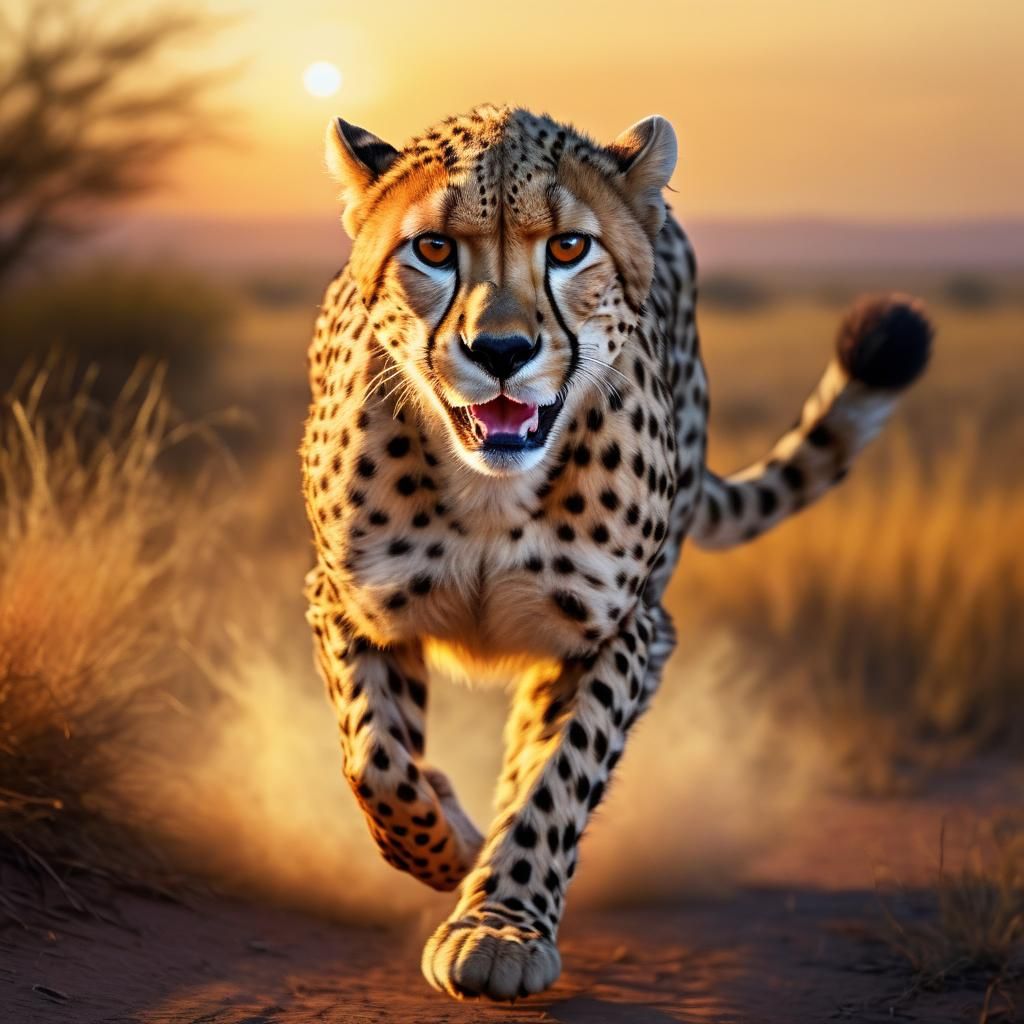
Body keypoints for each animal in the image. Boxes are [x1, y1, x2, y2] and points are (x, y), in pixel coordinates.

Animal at [301, 103, 932, 1002]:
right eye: (433, 249)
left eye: (569, 248)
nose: (502, 351)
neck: (488, 493)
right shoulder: (351, 604)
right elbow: (376, 759)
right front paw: (451, 843)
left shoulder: (621, 633)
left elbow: (557, 780)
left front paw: (499, 923)